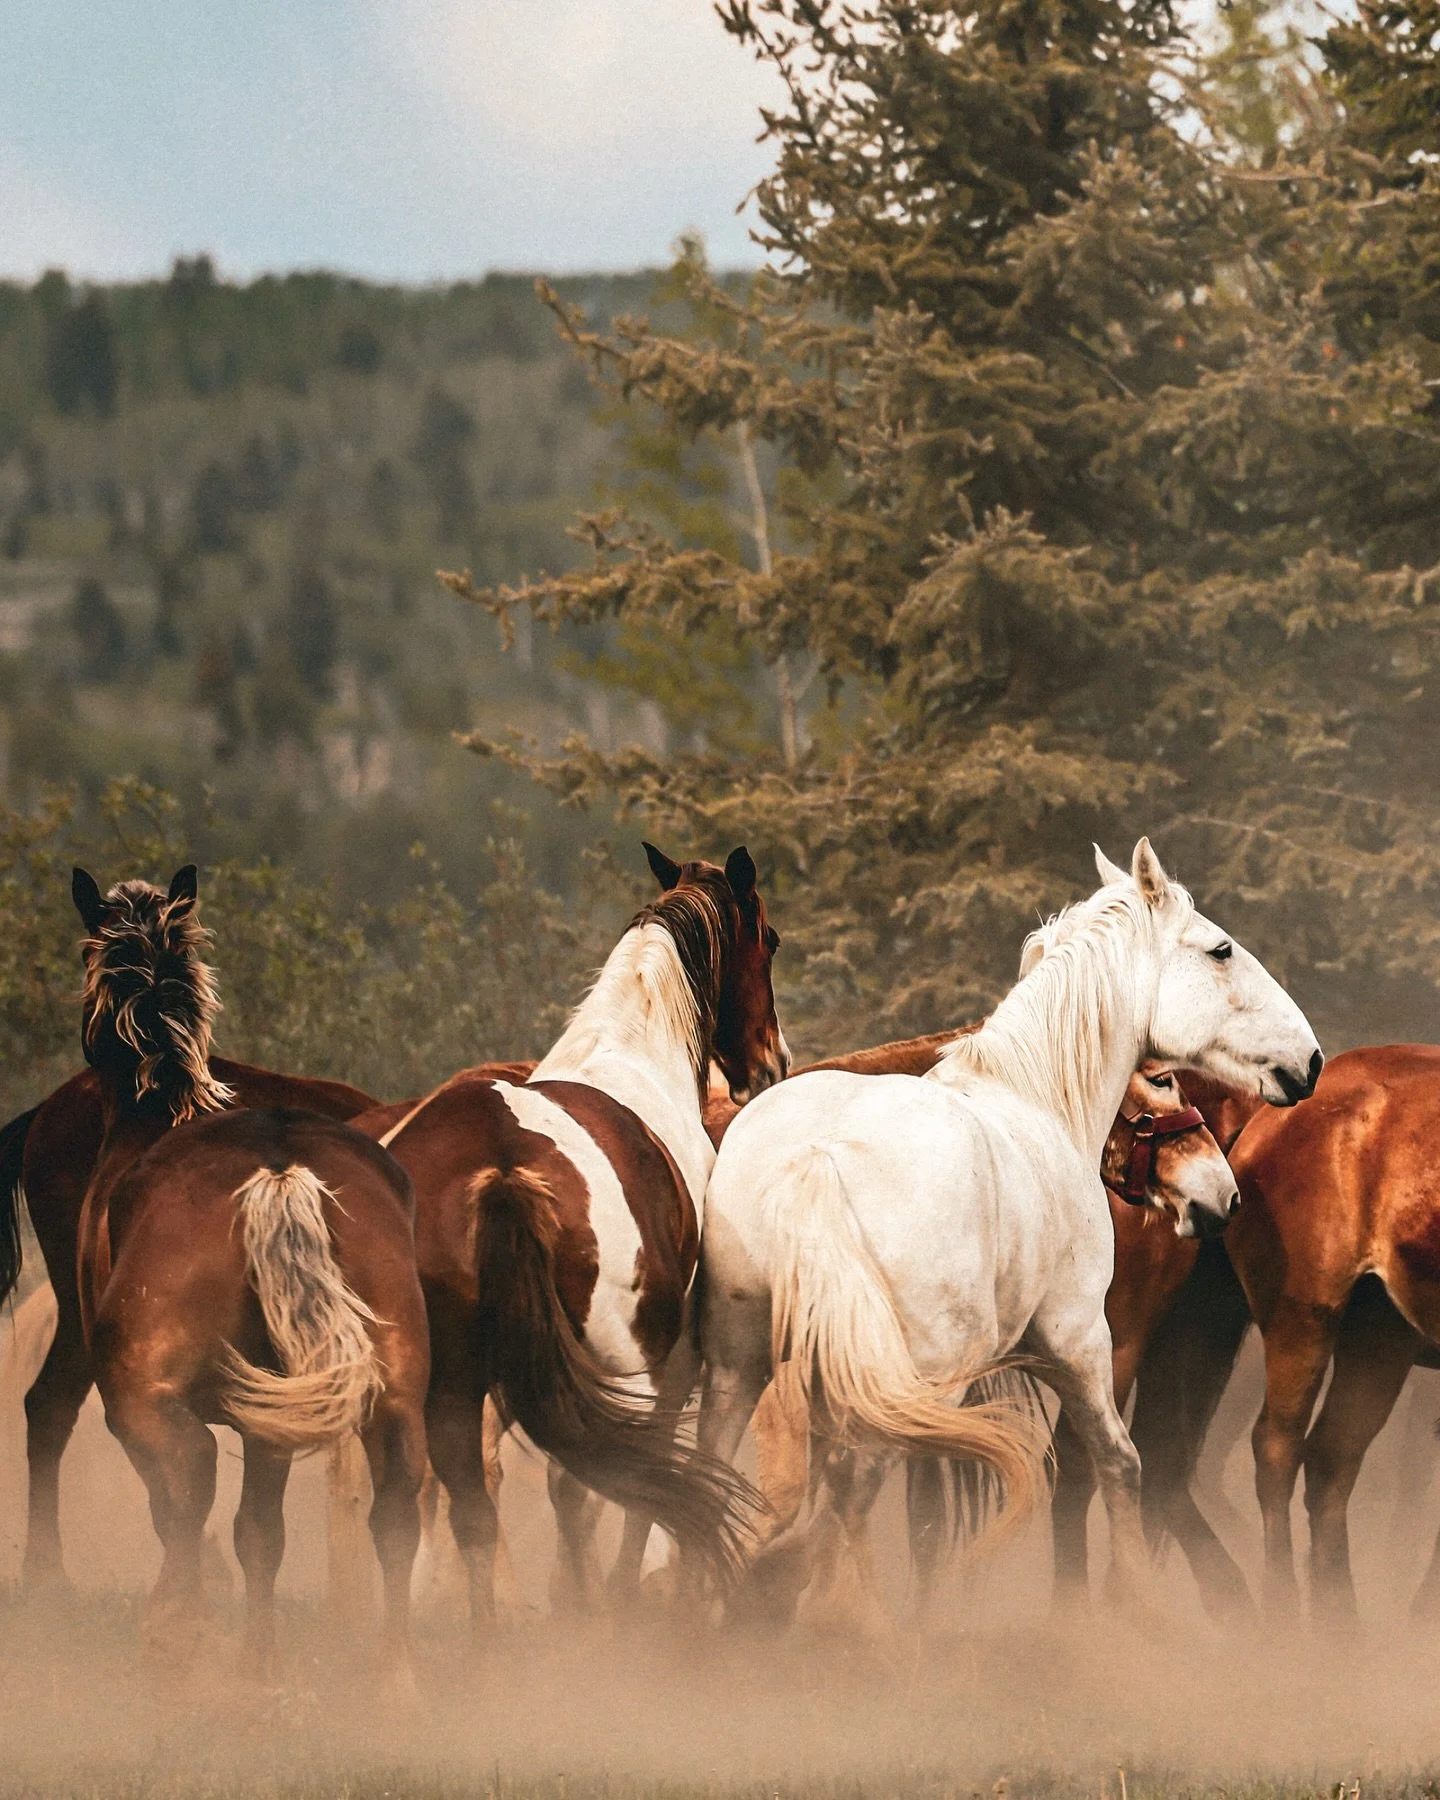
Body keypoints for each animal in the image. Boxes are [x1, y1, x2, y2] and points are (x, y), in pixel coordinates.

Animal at [72, 864, 430, 1686]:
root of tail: (278, 1165)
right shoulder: (273, 1422)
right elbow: (261, 1535)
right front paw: (260, 1665)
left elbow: (180, 1510)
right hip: (392, 1396)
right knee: (396, 1513)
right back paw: (396, 1682)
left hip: (145, 1396)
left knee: (188, 1478)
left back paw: (178, 1633)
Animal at [374, 841, 787, 1624]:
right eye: (770, 939)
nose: (773, 1064)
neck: (628, 1051)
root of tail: (502, 1169)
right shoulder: (672, 1361)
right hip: (611, 1364)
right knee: (589, 1482)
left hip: (448, 1381)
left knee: (458, 1498)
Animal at [695, 839, 1322, 1615]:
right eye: (1220, 950)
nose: (1309, 1061)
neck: (1035, 1097)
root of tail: (820, 1159)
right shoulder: (1079, 1342)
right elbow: (1116, 1465)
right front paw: (1135, 1606)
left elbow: (934, 1515)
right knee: (843, 1495)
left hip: (736, 1373)